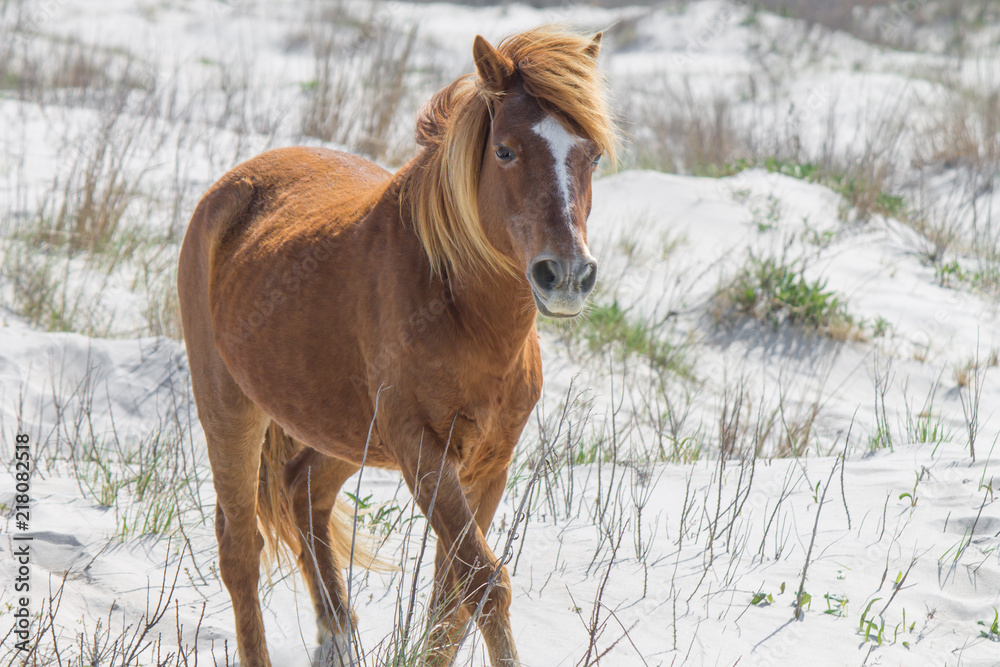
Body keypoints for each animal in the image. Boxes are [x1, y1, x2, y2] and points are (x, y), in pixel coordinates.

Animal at [177, 26, 616, 667]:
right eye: (505, 151)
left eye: (594, 155)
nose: (566, 275)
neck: (462, 313)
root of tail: (230, 189)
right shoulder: (421, 450)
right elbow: (483, 582)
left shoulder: (489, 462)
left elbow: (451, 602)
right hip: (230, 410)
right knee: (240, 550)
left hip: (345, 431)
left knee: (302, 491)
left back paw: (336, 636)